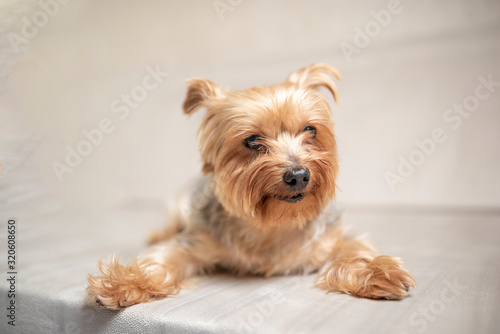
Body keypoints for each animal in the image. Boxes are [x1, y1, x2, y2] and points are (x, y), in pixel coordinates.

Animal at [88, 64, 416, 310]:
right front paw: (125, 282)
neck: (271, 224)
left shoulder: (334, 236)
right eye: (253, 141)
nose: (299, 175)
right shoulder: (194, 243)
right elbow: (161, 259)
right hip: (179, 202)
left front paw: (377, 273)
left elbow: (356, 251)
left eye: (310, 130)